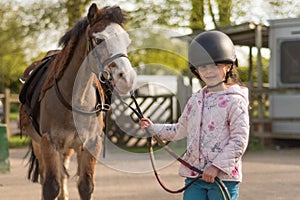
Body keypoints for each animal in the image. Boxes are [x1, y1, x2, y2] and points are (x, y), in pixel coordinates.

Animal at [18, 3, 136, 200]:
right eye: (99, 40)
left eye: (126, 41)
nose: (126, 78)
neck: (76, 101)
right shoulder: (48, 143)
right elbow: (50, 186)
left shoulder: (91, 144)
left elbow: (85, 186)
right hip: (38, 144)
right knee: (46, 176)